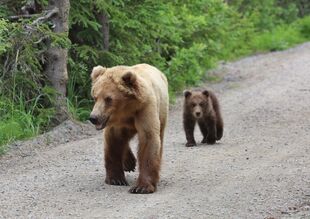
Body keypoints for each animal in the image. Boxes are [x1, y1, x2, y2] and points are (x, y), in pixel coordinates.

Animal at [89, 63, 168, 193]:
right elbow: (114, 141)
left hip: (162, 111)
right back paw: (129, 162)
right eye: (95, 97)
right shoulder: (115, 123)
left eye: (108, 99)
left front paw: (141, 187)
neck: (126, 109)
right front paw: (116, 179)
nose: (93, 117)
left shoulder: (145, 109)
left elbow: (148, 138)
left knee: (159, 138)